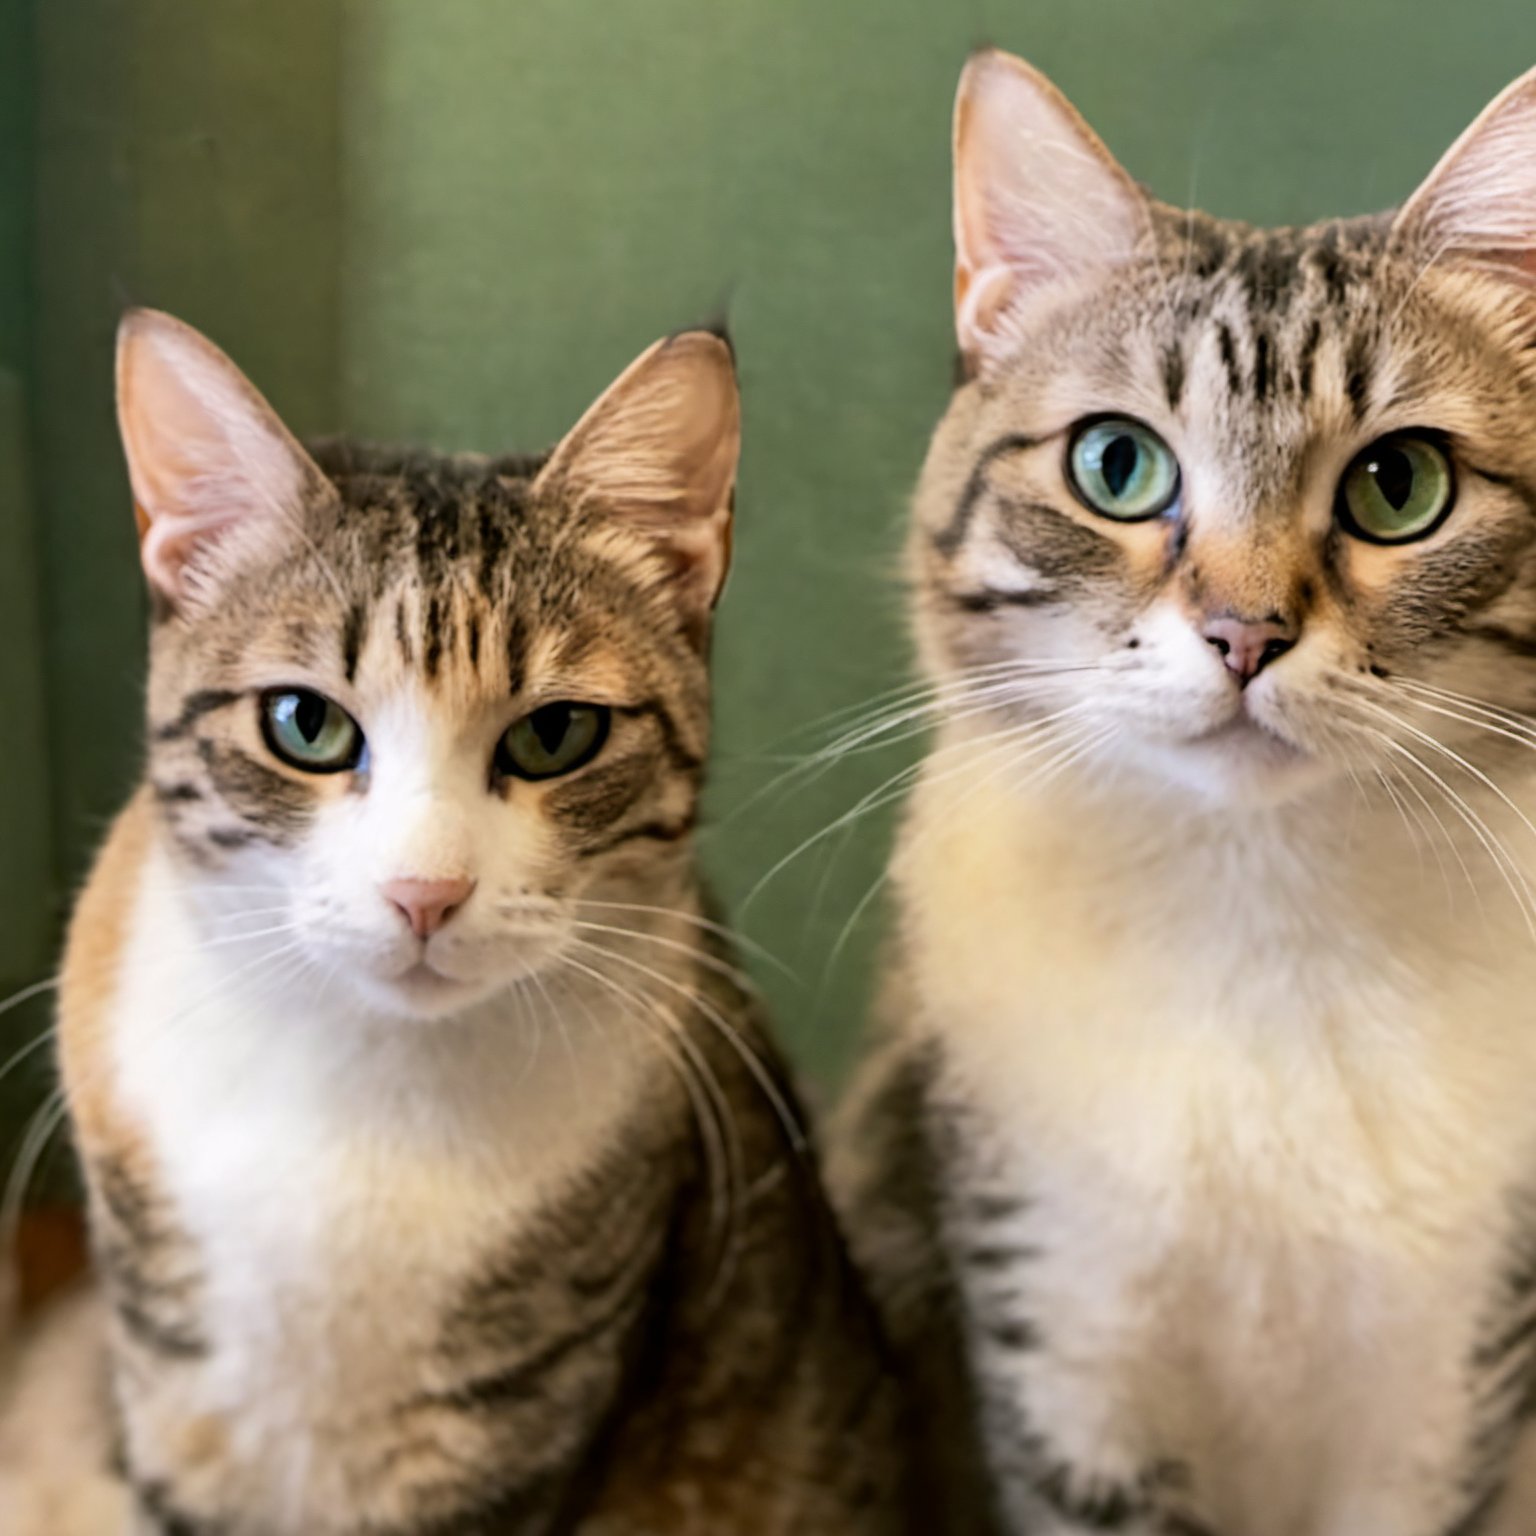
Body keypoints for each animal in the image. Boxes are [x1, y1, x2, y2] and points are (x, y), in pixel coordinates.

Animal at [0, 311, 897, 1536]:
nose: (423, 892)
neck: (357, 1091)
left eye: (557, 735)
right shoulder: (179, 1402)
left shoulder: (511, 1436)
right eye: (305, 724)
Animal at [841, 48, 1536, 1536]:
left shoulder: (1446, 1392)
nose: (1246, 632)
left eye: (1401, 484)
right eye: (1117, 464)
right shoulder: (1064, 1343)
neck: (1263, 904)